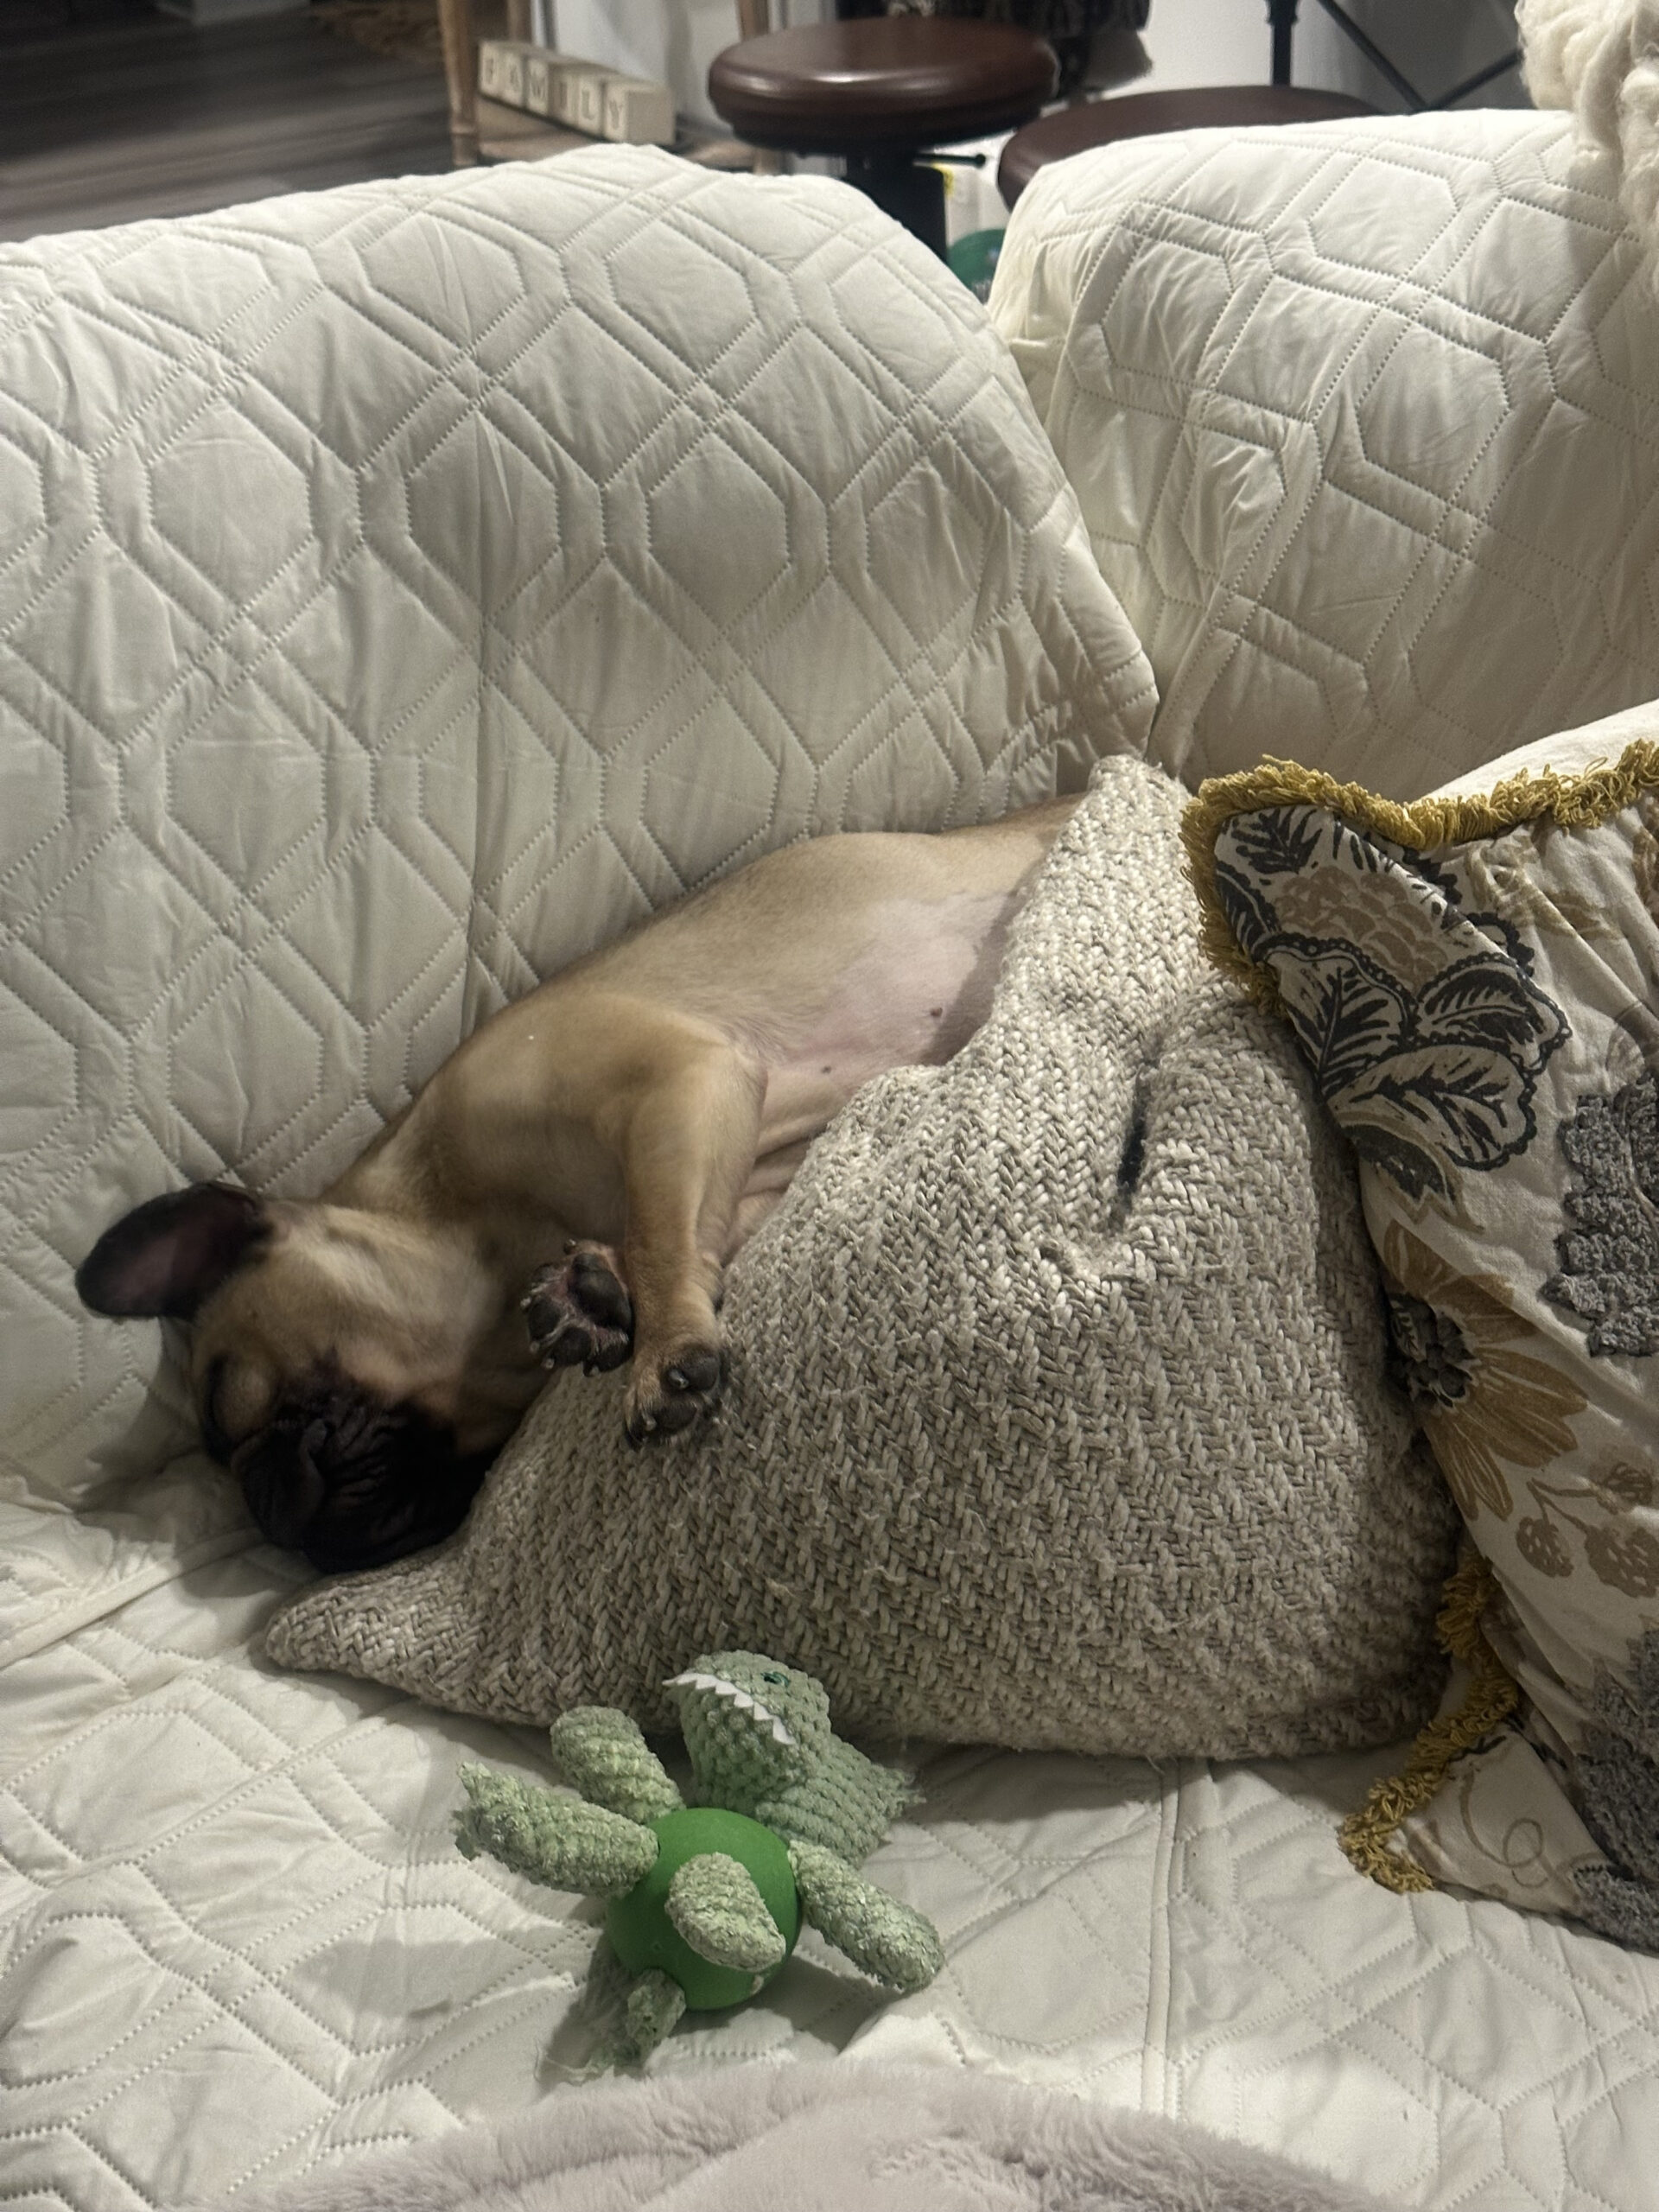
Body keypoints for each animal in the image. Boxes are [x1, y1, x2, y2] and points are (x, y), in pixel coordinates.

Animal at [78, 797, 1080, 1572]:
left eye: (231, 1401)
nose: (270, 1513)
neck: (471, 1226)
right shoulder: (740, 1149)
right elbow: (696, 1231)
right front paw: (594, 1295)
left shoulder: (678, 1083)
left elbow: (659, 1232)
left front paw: (654, 1338)